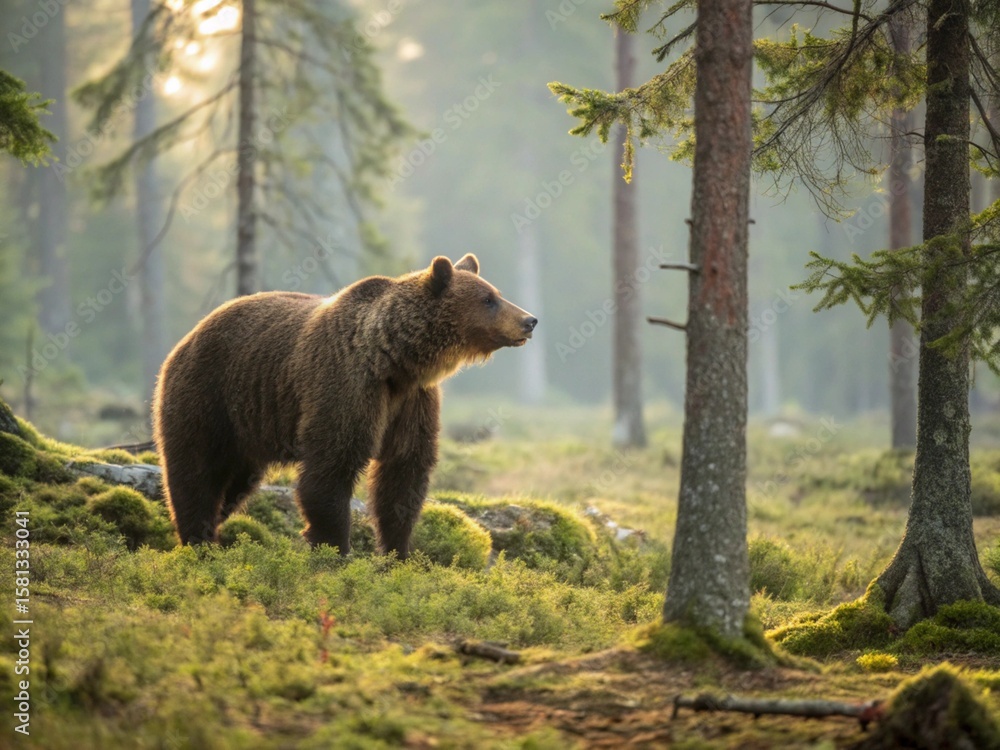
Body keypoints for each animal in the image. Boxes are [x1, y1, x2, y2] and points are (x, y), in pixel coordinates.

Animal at [152, 254, 536, 558]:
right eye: (488, 299)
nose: (529, 320)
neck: (396, 360)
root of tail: (187, 337)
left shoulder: (412, 401)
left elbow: (404, 474)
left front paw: (397, 553)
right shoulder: (346, 385)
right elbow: (330, 469)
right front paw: (334, 548)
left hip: (247, 427)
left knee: (233, 484)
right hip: (207, 395)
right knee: (195, 472)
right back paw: (198, 541)